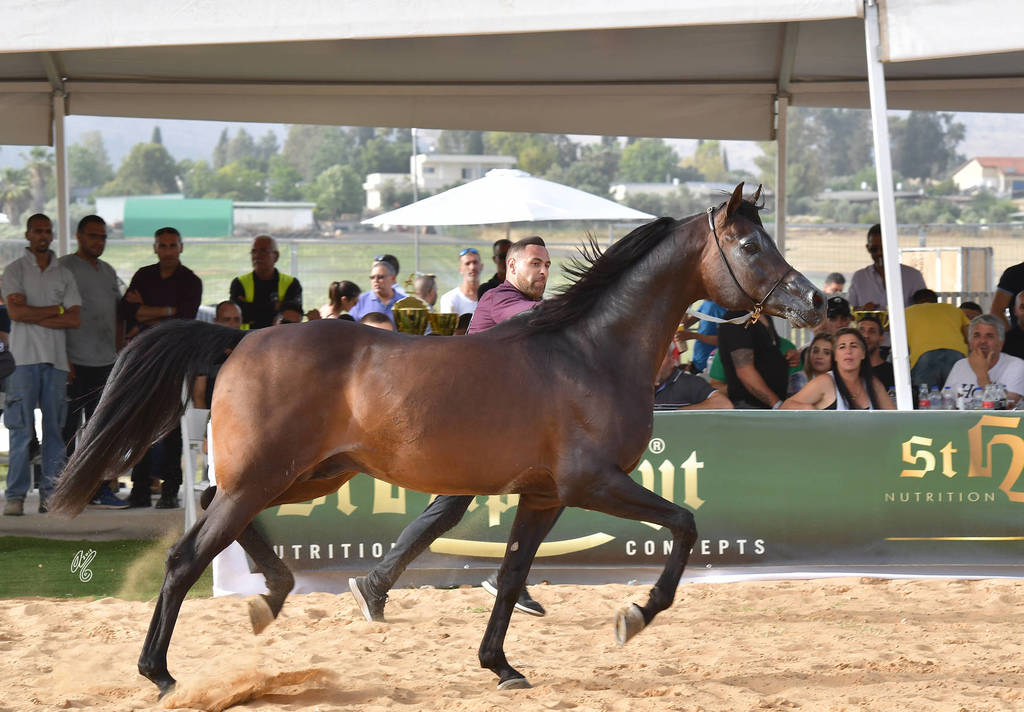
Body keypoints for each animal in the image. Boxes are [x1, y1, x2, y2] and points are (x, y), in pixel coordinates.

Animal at [50, 182, 823, 696]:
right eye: (750, 243)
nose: (818, 301)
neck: (589, 353)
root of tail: (240, 339)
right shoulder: (593, 483)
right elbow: (685, 524)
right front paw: (633, 615)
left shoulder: (543, 496)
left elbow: (511, 576)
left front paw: (500, 665)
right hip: (270, 476)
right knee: (188, 553)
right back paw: (161, 672)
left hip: (305, 474)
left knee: (216, 508)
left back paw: (273, 595)